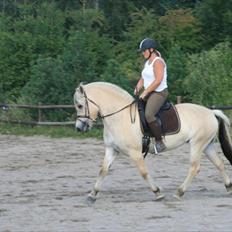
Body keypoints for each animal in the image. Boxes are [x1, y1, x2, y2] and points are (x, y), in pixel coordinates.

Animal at [74, 81, 232, 201]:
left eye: (80, 105)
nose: (79, 128)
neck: (119, 117)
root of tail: (211, 112)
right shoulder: (112, 150)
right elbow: (103, 170)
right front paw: (92, 194)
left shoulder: (135, 152)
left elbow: (143, 172)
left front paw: (157, 192)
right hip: (207, 145)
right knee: (219, 164)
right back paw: (228, 187)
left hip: (197, 144)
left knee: (194, 167)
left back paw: (179, 192)